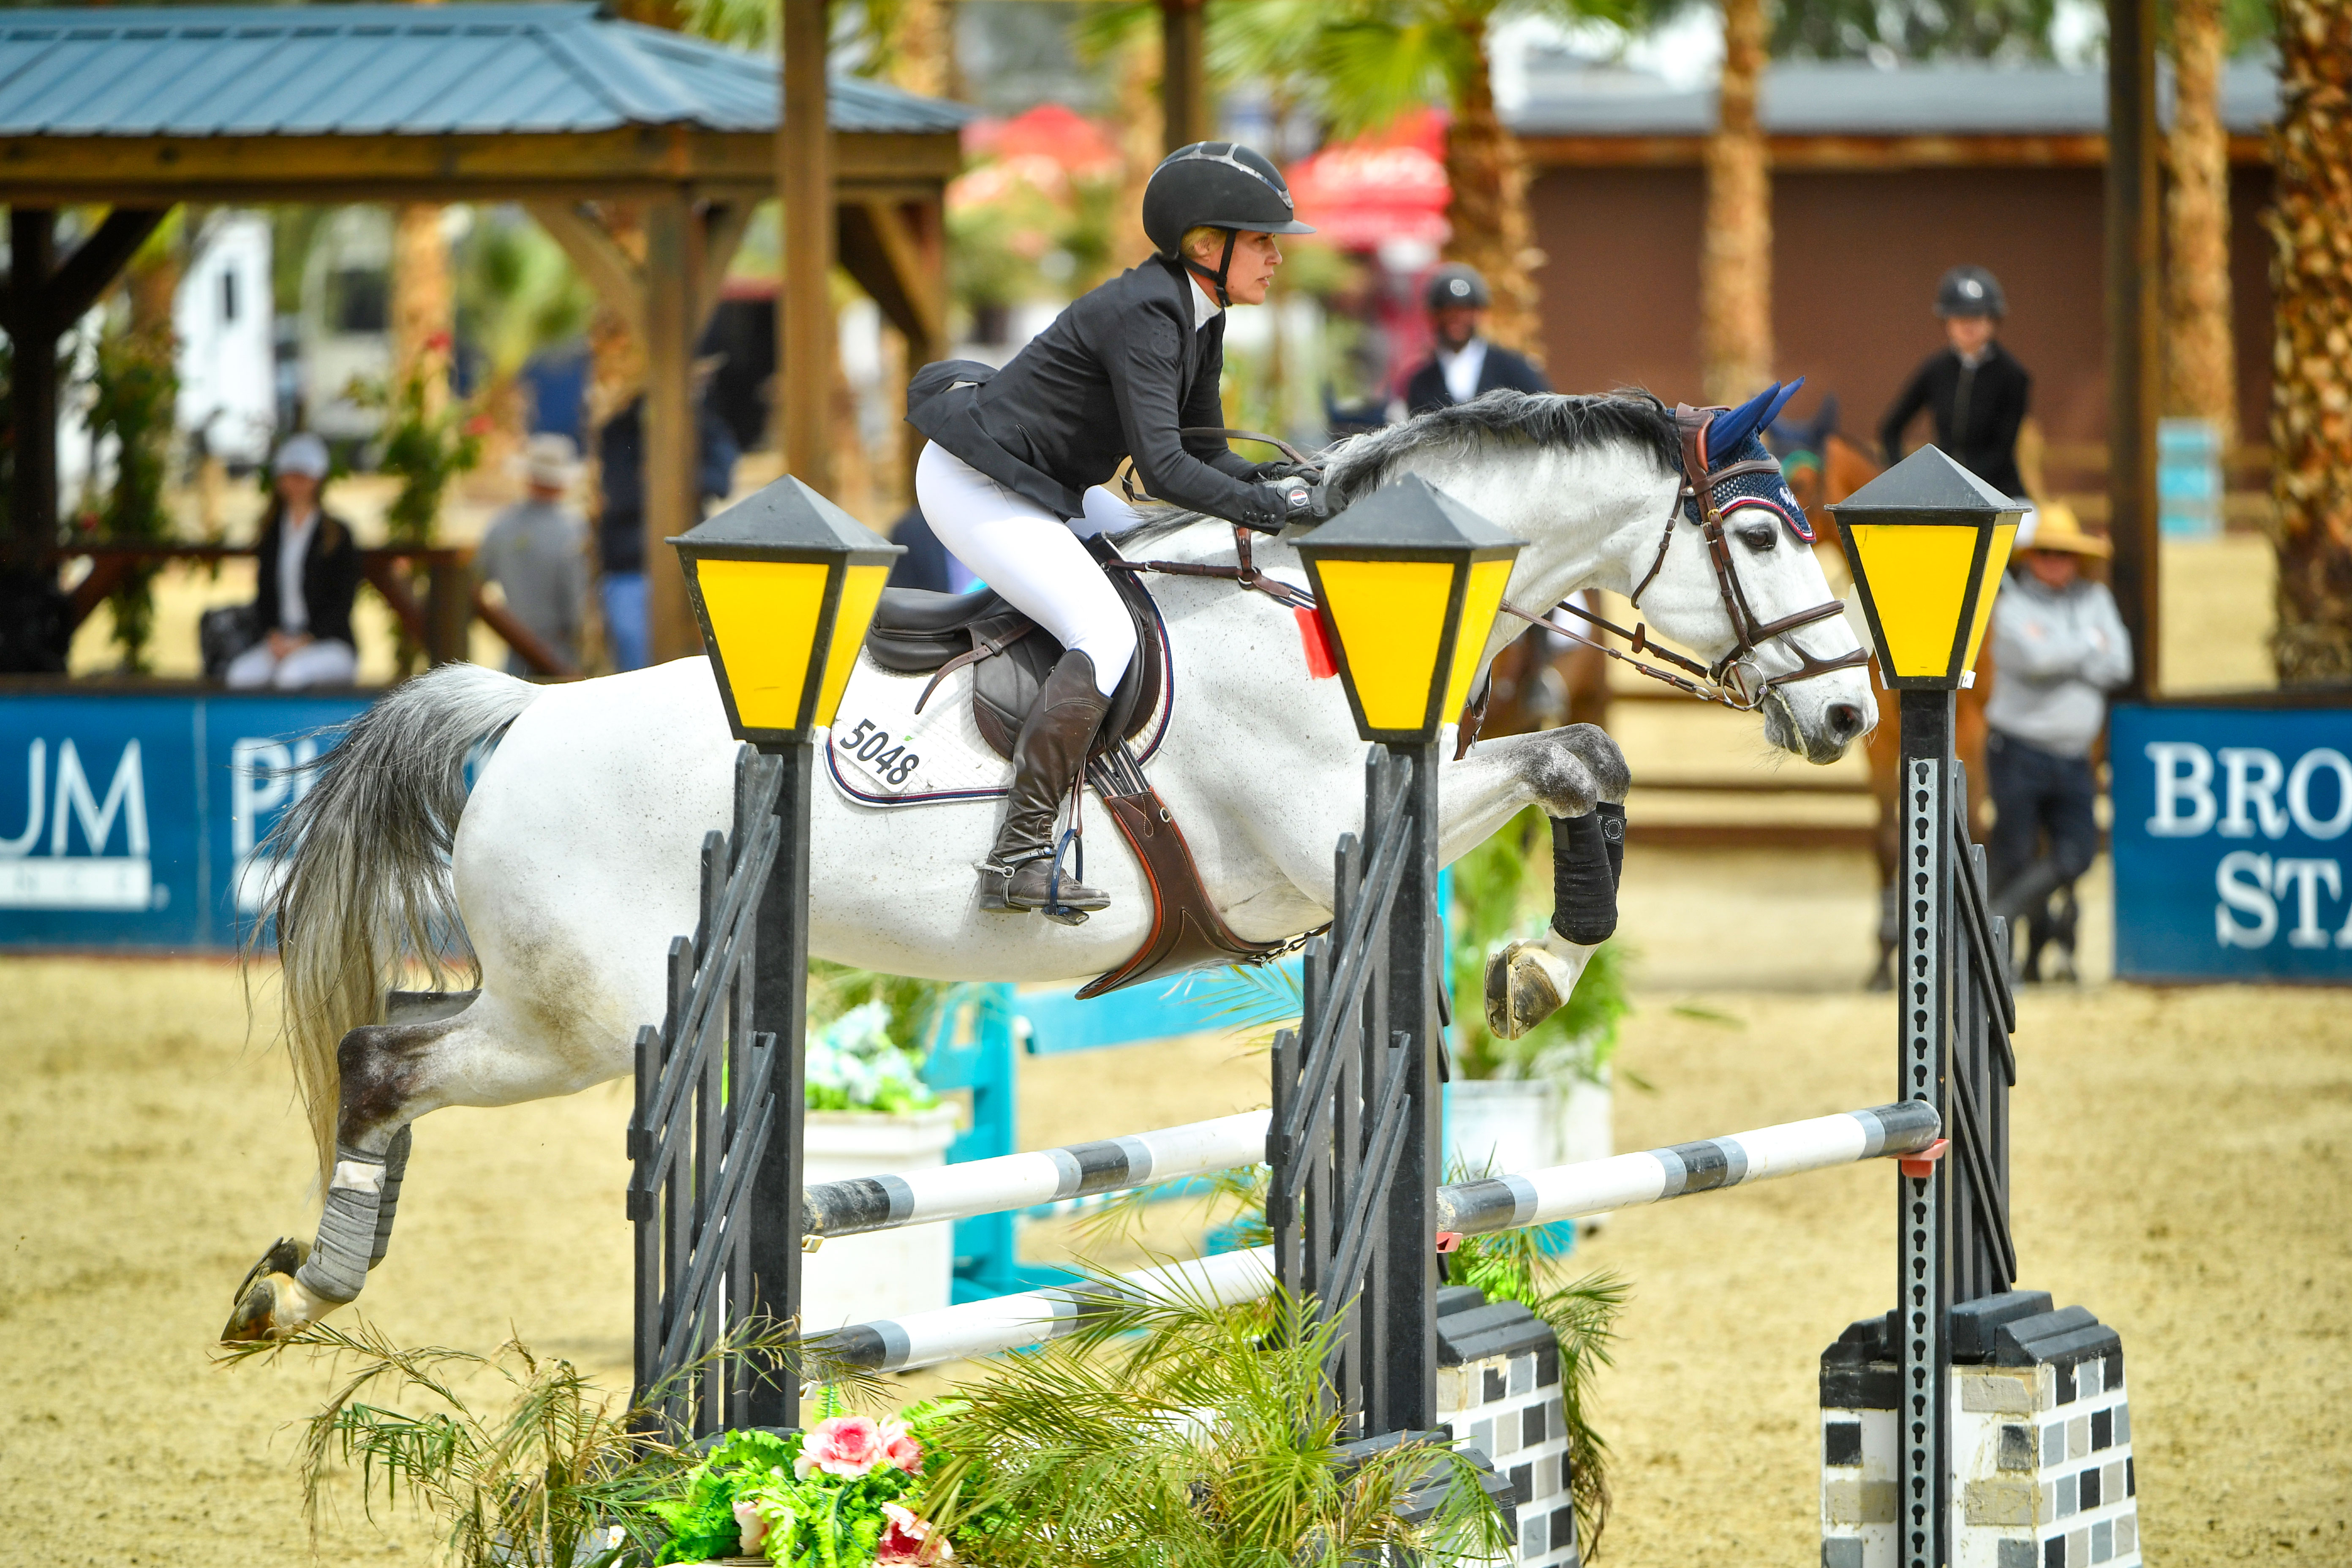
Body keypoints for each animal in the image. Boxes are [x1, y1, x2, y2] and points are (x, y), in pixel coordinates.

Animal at [222, 383, 1876, 1340]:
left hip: (550, 1006)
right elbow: (1578, 758)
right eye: (1754, 537)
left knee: (386, 1047)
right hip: (582, 1020)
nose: (1852, 713)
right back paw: (306, 1288)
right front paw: (1535, 967)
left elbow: (1577, 766)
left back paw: (300, 1286)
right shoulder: (1319, 838)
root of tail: (525, 713)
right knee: (384, 1059)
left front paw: (1530, 965)